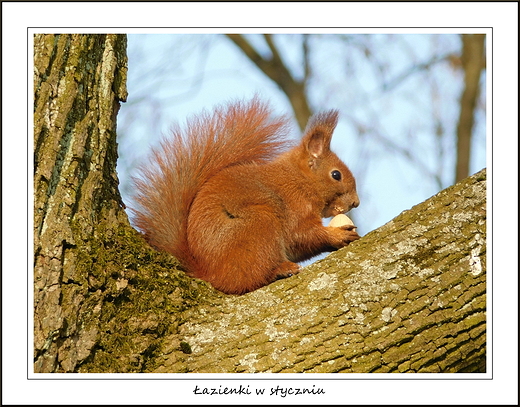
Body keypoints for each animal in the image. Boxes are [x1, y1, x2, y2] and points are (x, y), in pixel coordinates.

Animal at [131, 97, 358, 294]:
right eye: (336, 175)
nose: (356, 203)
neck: (299, 180)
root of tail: (210, 273)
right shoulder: (294, 205)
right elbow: (301, 235)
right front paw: (337, 235)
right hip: (259, 224)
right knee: (248, 279)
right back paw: (279, 270)